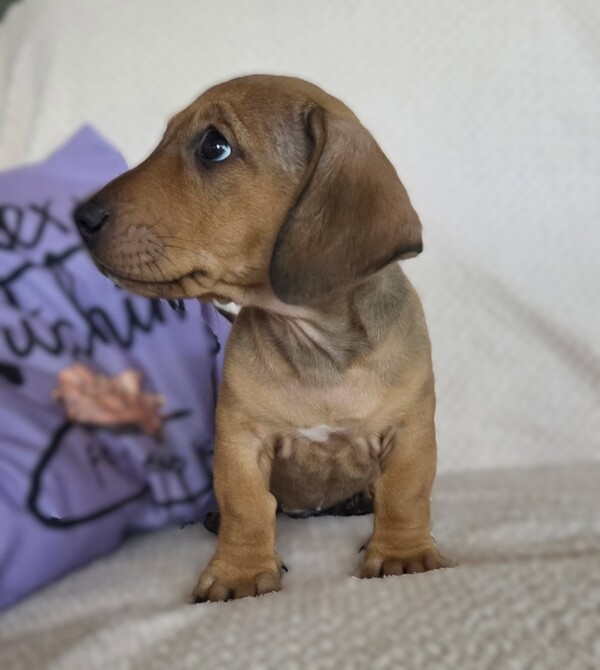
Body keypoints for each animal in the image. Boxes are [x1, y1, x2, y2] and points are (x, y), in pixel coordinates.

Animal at [74, 74, 453, 602]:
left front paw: (403, 553)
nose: (81, 218)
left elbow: (405, 491)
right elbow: (247, 505)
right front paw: (240, 570)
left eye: (214, 146)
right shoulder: (240, 437)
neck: (314, 343)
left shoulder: (409, 429)